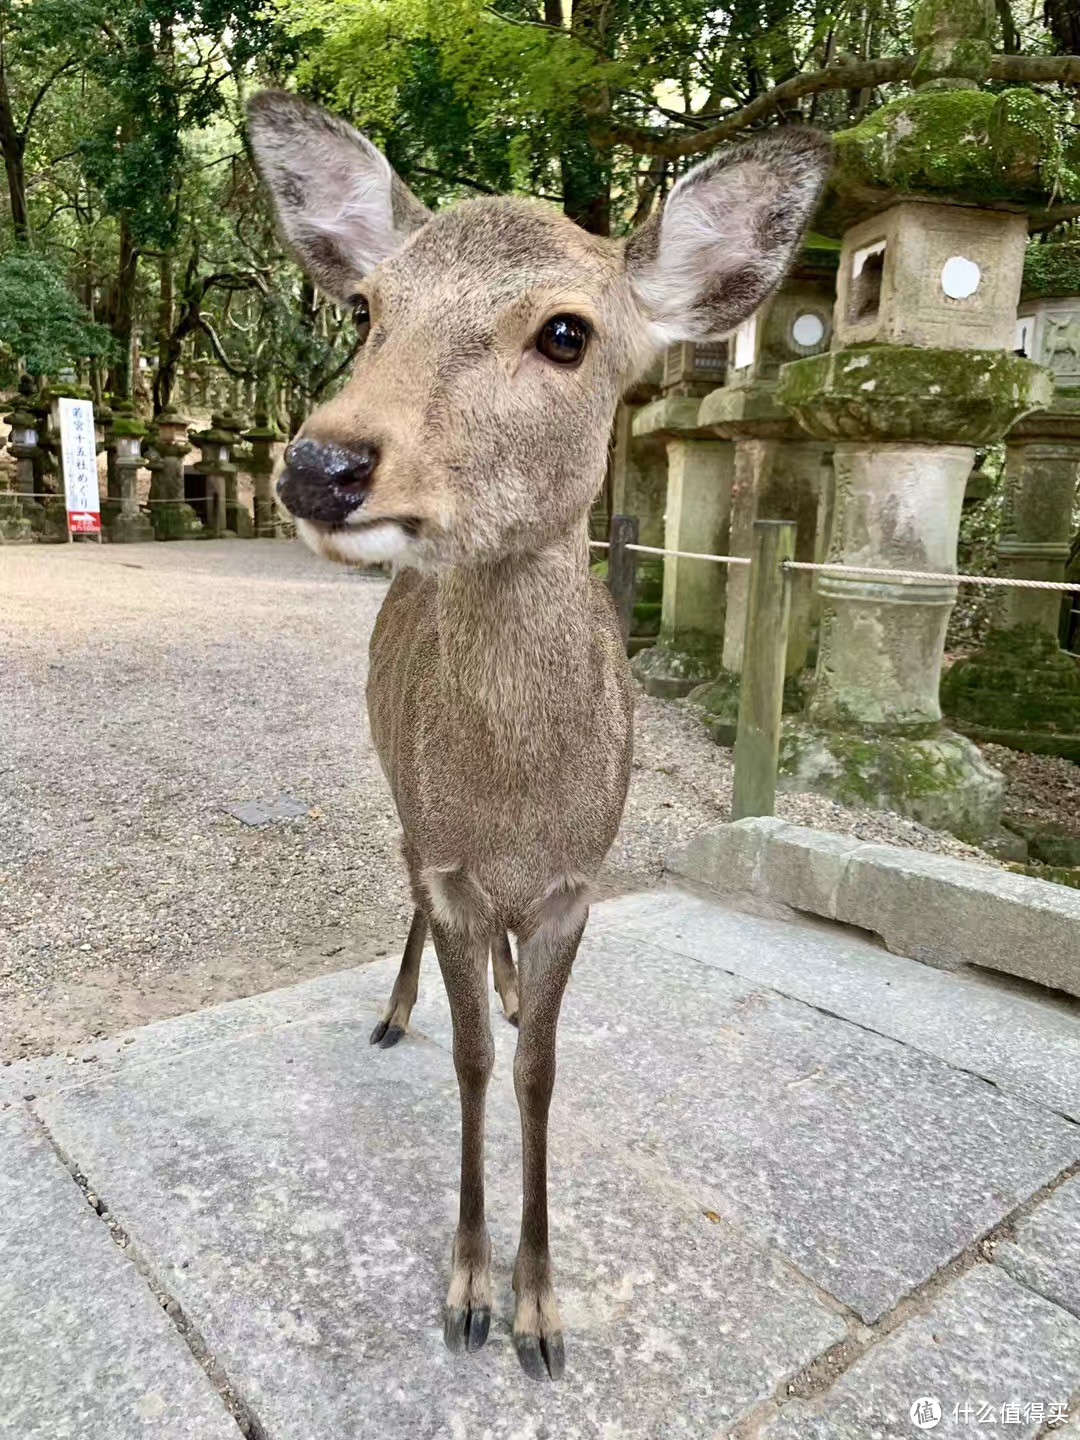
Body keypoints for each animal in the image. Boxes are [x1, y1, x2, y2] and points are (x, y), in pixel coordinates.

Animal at [249, 92, 835, 1382]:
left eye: (568, 333)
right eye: (367, 309)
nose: (321, 464)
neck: (519, 807)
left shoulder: (578, 882)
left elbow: (539, 1070)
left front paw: (542, 1310)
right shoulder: (454, 861)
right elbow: (471, 1062)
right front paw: (471, 1294)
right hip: (397, 793)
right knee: (405, 887)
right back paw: (398, 1009)